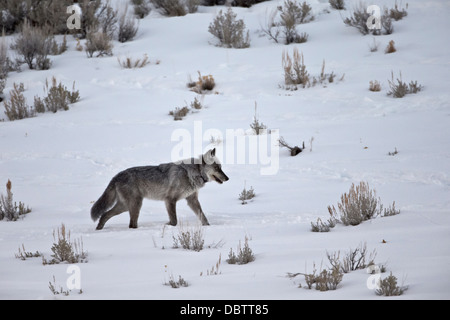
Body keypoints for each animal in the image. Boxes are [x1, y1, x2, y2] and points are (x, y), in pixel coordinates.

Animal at [91, 149, 229, 229]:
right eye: (217, 168)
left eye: (221, 167)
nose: (227, 178)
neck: (193, 173)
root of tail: (116, 176)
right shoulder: (170, 200)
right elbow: (174, 221)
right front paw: (167, 225)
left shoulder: (192, 200)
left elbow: (203, 217)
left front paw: (209, 227)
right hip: (135, 205)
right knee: (131, 224)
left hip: (125, 206)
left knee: (104, 215)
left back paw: (99, 229)